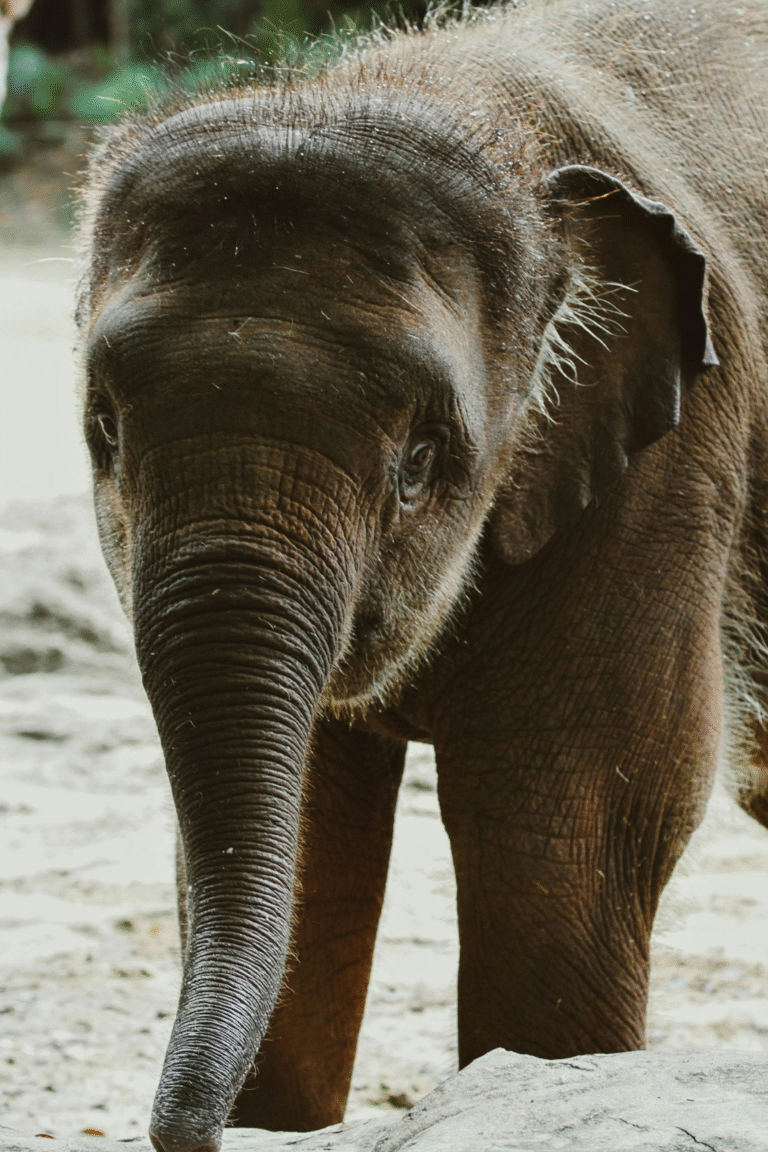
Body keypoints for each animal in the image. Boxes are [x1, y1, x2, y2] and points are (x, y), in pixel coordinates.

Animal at [75, 0, 768, 1149]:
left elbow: (566, 821)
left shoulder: (675, 460)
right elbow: (313, 820)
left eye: (418, 462)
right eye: (105, 431)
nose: (184, 1127)